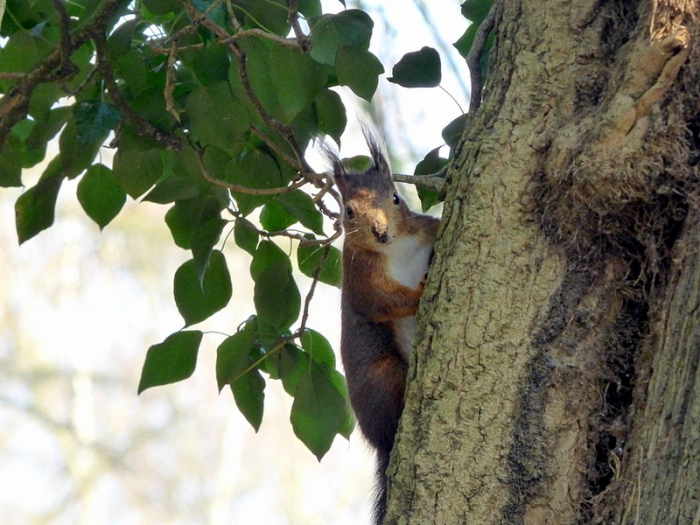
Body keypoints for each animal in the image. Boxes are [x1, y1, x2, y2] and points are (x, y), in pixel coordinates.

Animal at [325, 129, 440, 524]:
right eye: (348, 211)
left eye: (395, 197)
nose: (380, 232)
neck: (397, 247)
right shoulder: (360, 276)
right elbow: (383, 302)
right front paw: (419, 292)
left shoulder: (425, 229)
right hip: (384, 377)